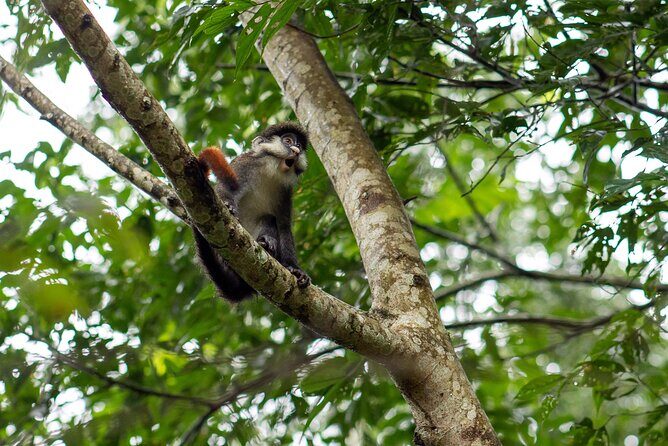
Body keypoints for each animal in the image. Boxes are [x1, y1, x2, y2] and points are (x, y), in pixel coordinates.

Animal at [193, 122, 311, 302]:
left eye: (299, 145)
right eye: (288, 141)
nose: (296, 150)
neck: (271, 170)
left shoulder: (286, 191)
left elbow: (283, 225)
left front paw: (295, 269)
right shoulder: (245, 165)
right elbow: (226, 187)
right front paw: (229, 206)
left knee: (269, 218)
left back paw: (267, 244)